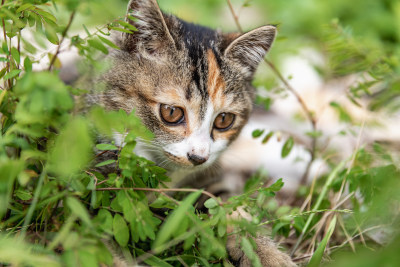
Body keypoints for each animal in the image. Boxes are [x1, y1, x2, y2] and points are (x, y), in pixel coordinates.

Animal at [90, 0, 296, 266]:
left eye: (224, 120)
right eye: (171, 112)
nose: (198, 157)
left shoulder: (210, 180)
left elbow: (231, 206)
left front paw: (268, 255)